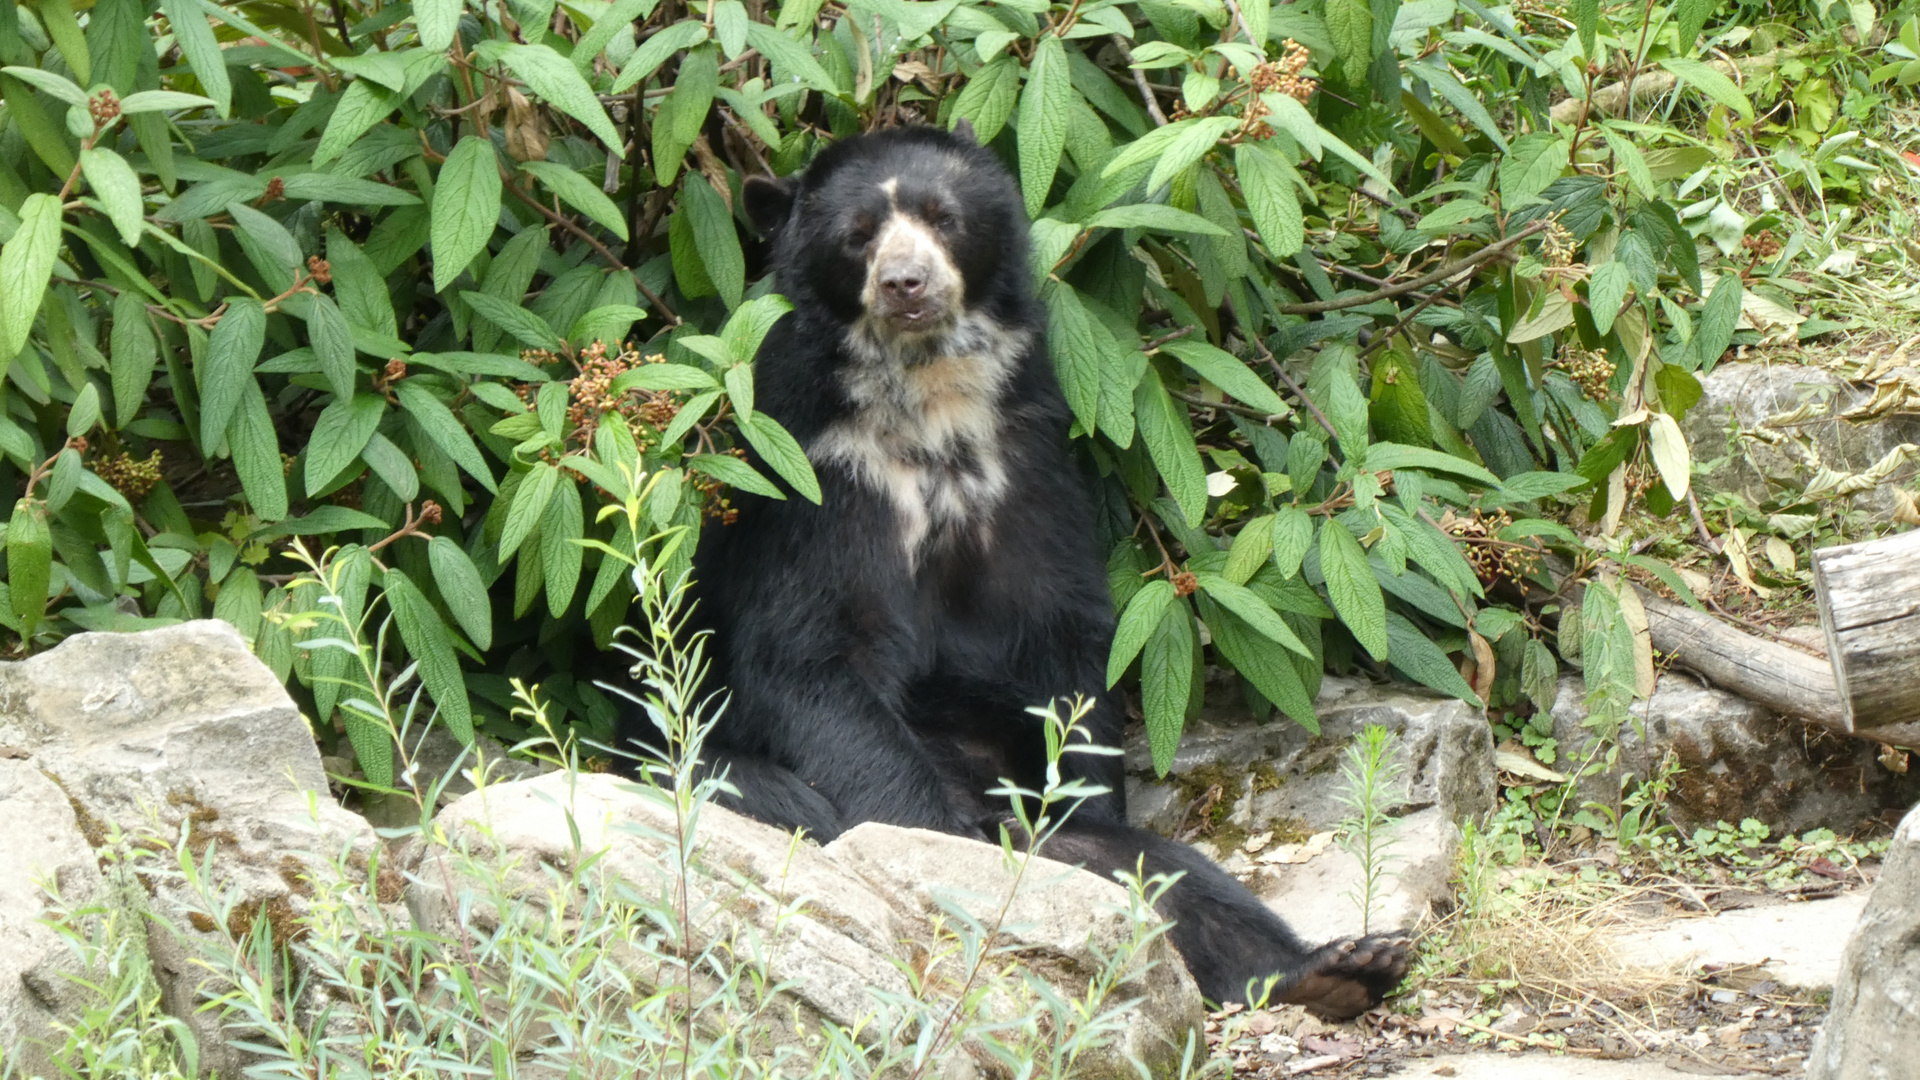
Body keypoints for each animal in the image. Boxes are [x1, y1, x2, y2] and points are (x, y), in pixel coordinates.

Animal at [637, 122, 1405, 1014]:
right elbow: (806, 657)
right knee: (757, 789)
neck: (928, 400)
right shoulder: (810, 475)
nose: (905, 283)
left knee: (1156, 868)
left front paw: (1073, 793)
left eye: (943, 217)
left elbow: (1062, 632)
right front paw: (934, 836)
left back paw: (1337, 968)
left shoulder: (1025, 454)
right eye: (858, 234)